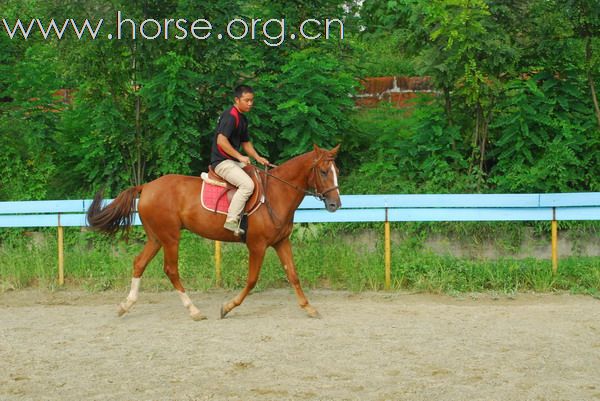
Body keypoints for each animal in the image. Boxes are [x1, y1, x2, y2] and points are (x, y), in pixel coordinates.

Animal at [87, 144, 344, 318]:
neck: (276, 194)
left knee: (139, 263)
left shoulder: (281, 242)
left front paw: (308, 307)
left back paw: (126, 305)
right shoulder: (257, 246)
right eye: (323, 172)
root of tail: (147, 186)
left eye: (336, 171)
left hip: (156, 238)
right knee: (171, 270)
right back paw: (193, 310)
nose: (335, 205)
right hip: (170, 237)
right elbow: (252, 280)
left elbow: (293, 275)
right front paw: (227, 307)